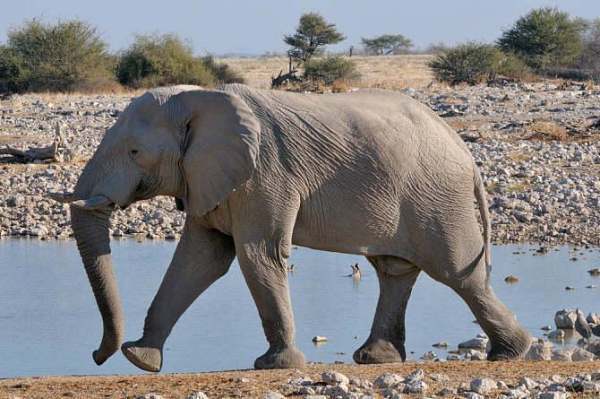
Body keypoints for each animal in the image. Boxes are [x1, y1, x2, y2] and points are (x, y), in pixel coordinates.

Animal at [50, 83, 528, 374]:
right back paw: (377, 358)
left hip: (437, 196)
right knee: (395, 271)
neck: (199, 99)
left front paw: (275, 366)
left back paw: (511, 353)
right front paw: (142, 360)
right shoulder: (209, 176)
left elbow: (256, 255)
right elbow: (200, 260)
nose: (96, 355)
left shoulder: (264, 174)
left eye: (135, 152)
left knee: (457, 274)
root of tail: (463, 148)